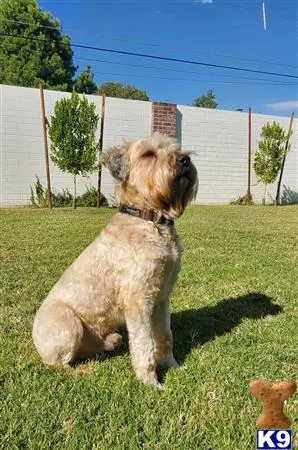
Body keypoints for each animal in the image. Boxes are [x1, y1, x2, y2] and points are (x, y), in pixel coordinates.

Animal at [32, 132, 198, 388]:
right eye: (148, 154)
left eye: (175, 149)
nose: (184, 160)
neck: (150, 221)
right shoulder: (138, 302)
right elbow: (144, 345)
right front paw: (151, 383)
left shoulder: (162, 298)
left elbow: (165, 336)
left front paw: (173, 365)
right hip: (68, 323)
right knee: (57, 364)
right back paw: (83, 372)